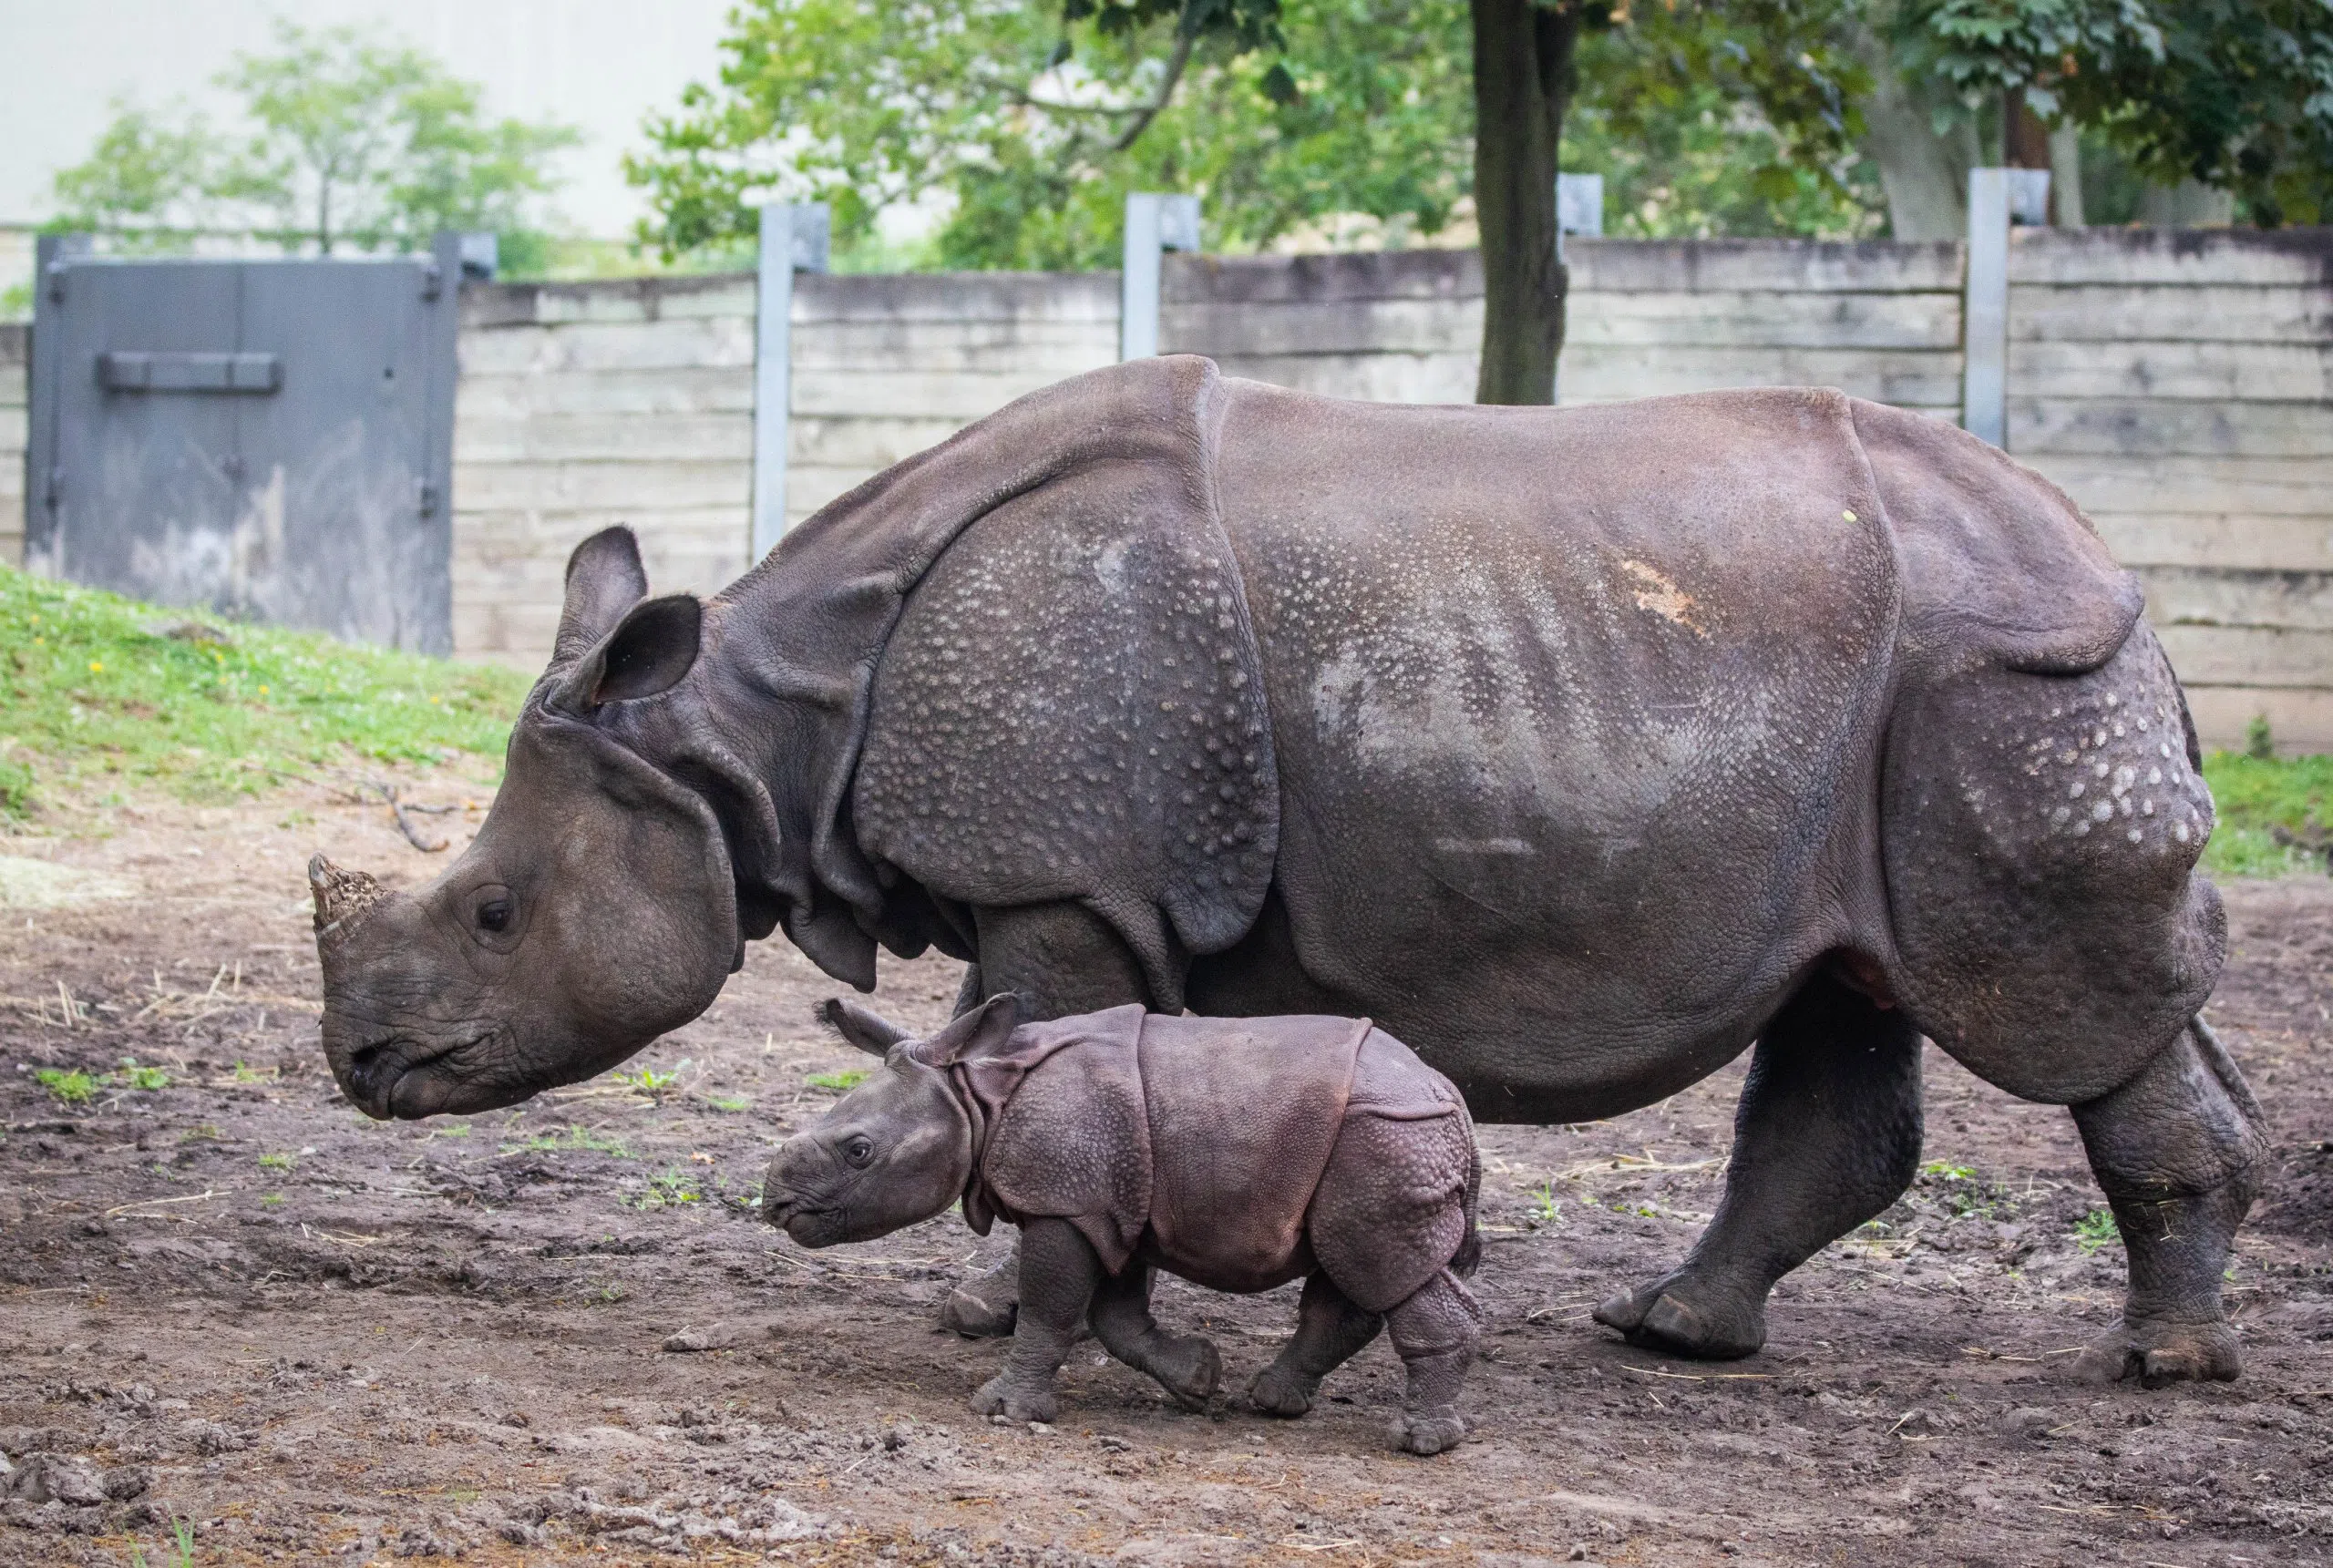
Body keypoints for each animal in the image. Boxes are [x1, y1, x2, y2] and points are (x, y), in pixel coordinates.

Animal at [311, 355, 2264, 1388]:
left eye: (495, 912)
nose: (358, 1067)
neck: (747, 732)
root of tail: (2120, 573)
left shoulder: (1065, 873)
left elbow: (1026, 1056)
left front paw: (980, 1306)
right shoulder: (1085, 869)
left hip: (2009, 685)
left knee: (2060, 1017)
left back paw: (2159, 1365)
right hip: (1916, 706)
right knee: (1855, 989)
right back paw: (1671, 1333)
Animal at [766, 995, 1484, 1452]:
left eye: (859, 1150)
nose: (774, 1203)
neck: (977, 1095)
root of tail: (1449, 1095)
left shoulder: (1067, 1201)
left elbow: (1049, 1307)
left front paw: (1003, 1410)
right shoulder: (1110, 1204)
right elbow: (1116, 1320)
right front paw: (1197, 1377)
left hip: (1387, 1135)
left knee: (1379, 1264)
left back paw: (1420, 1442)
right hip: (1373, 1142)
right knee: (1353, 1268)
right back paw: (1272, 1399)